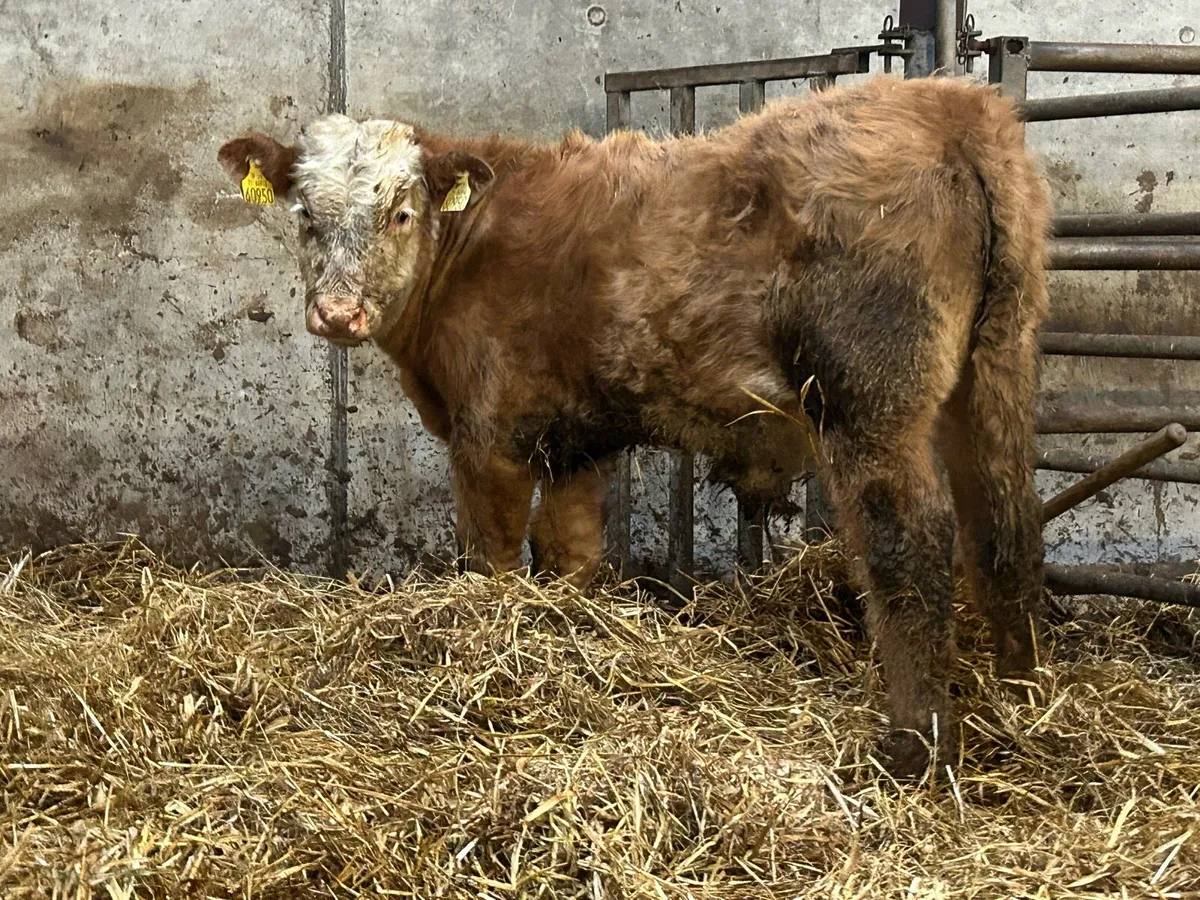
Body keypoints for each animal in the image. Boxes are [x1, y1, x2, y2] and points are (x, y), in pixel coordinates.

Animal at [218, 74, 1052, 778]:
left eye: (399, 212)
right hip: (996, 367)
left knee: (910, 540)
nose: (338, 313)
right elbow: (568, 556)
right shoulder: (575, 442)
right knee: (1004, 522)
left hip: (870, 398)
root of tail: (949, 104)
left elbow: (491, 561)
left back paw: (915, 745)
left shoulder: (489, 437)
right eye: (305, 215)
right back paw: (1023, 695)